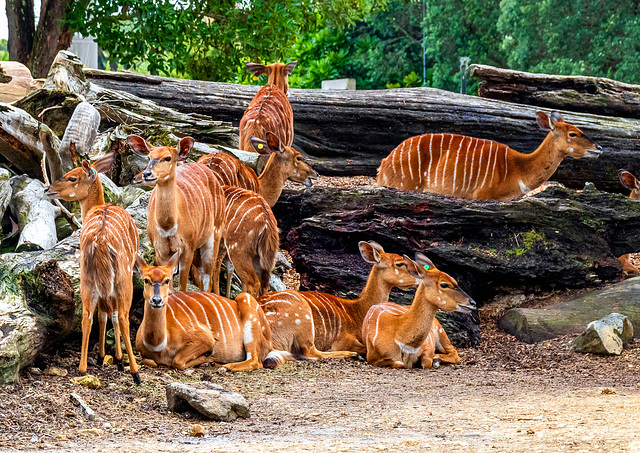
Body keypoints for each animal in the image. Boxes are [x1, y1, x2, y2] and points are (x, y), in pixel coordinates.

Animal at [44, 154, 142, 384]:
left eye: (72, 177)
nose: (47, 189)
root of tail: (100, 241)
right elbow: (111, 315)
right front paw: (116, 360)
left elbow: (101, 314)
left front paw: (102, 357)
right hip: (123, 279)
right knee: (121, 316)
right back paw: (135, 373)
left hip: (87, 280)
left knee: (88, 315)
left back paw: (82, 368)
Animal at [126, 135, 226, 294]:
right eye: (149, 157)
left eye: (167, 157)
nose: (147, 174)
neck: (168, 226)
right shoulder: (161, 252)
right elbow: (169, 288)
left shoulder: (187, 248)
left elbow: (182, 287)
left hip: (214, 235)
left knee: (207, 277)